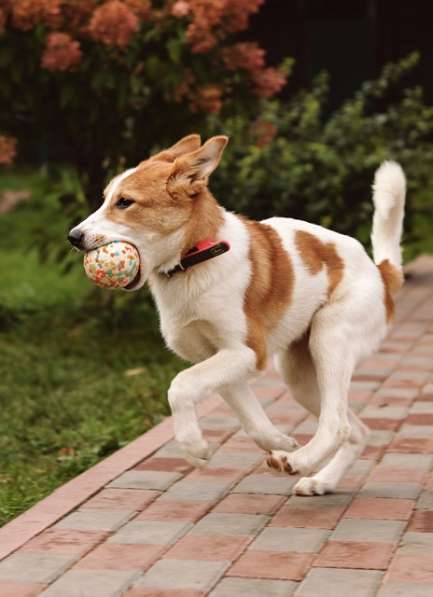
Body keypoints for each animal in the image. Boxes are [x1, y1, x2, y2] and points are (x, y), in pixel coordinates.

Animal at [68, 134, 404, 494]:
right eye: (105, 199)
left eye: (125, 202)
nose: (73, 237)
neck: (195, 258)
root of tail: (380, 273)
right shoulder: (218, 358)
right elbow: (250, 418)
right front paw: (278, 441)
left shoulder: (247, 352)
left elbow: (180, 385)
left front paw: (193, 445)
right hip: (298, 373)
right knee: (355, 429)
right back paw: (320, 480)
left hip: (330, 338)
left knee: (337, 423)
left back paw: (300, 462)